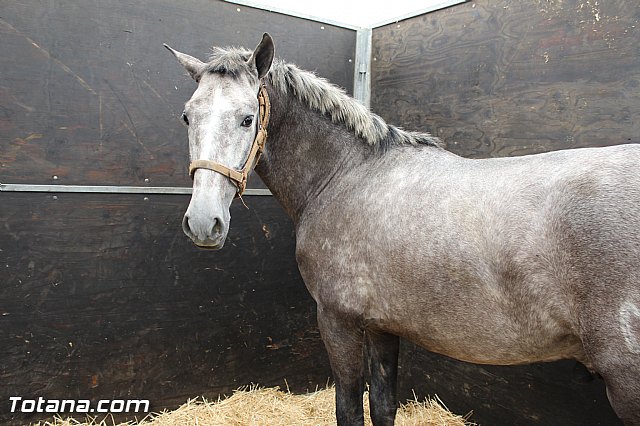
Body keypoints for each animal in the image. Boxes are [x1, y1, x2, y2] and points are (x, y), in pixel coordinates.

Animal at [164, 33, 640, 425]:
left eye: (247, 118)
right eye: (187, 117)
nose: (204, 222)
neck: (346, 175)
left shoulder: (337, 321)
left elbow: (350, 410)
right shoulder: (382, 327)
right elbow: (383, 406)